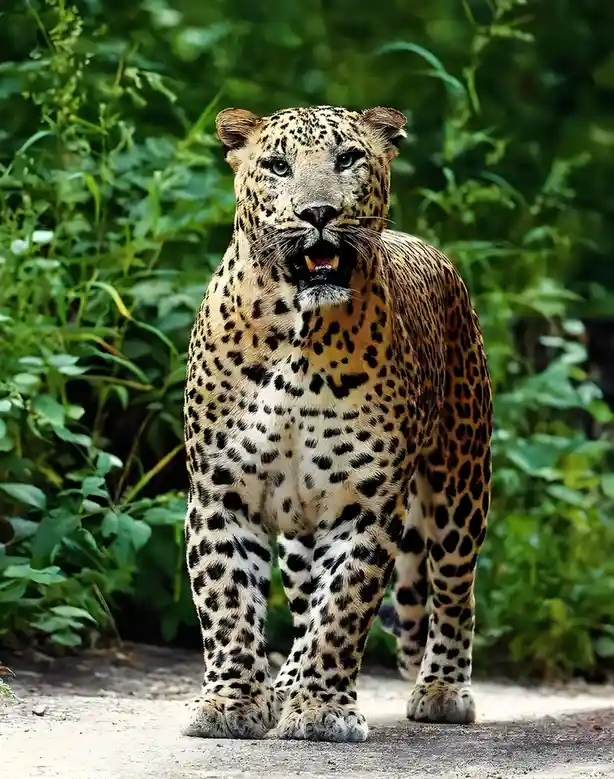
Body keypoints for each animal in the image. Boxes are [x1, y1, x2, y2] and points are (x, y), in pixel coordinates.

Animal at [182, 104, 493, 743]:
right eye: (278, 166)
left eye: (347, 158)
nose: (318, 212)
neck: (298, 334)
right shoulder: (219, 492)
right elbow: (228, 602)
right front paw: (231, 702)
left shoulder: (366, 504)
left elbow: (344, 609)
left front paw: (324, 708)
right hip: (301, 536)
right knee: (304, 604)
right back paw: (282, 686)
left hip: (461, 485)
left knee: (454, 591)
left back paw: (443, 690)